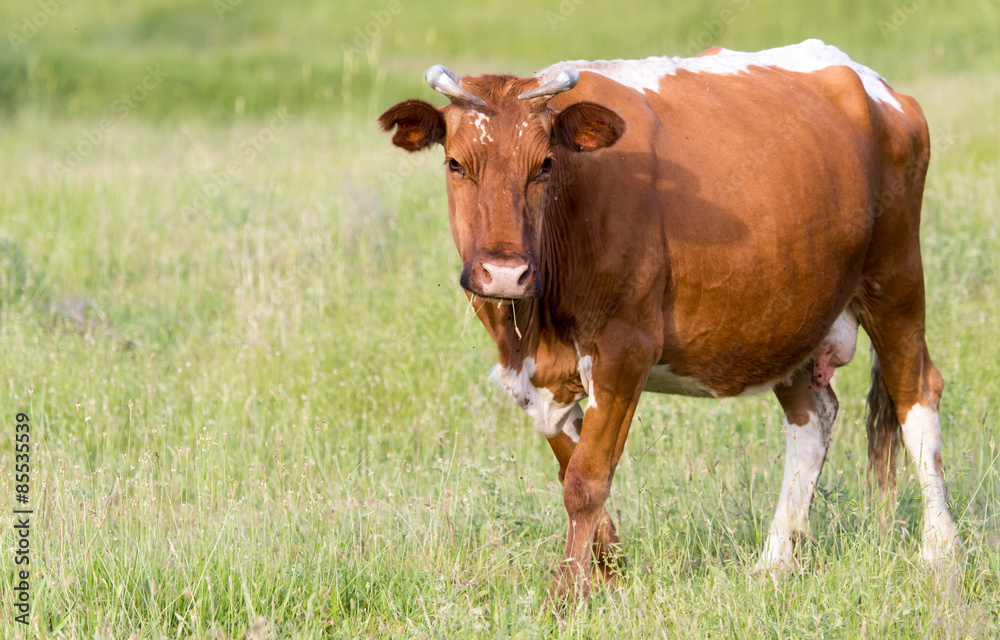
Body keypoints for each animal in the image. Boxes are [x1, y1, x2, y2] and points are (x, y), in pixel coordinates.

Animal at [378, 40, 956, 600]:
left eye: (544, 164)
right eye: (455, 163)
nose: (504, 273)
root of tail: (869, 81)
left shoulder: (624, 350)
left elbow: (586, 478)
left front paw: (568, 596)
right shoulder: (532, 375)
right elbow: (571, 467)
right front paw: (609, 576)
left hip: (895, 278)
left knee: (916, 396)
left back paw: (940, 552)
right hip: (788, 317)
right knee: (813, 419)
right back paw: (773, 564)